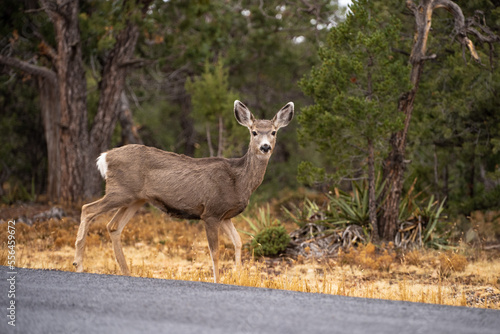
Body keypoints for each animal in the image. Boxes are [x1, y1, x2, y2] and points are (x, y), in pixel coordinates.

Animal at [72, 100, 294, 284]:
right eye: (254, 132)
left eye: (273, 132)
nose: (265, 147)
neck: (238, 180)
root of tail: (105, 157)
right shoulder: (211, 212)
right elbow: (215, 251)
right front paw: (217, 280)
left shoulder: (225, 215)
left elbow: (238, 242)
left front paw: (239, 277)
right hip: (120, 191)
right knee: (88, 209)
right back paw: (78, 264)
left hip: (136, 199)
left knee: (113, 226)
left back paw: (126, 271)